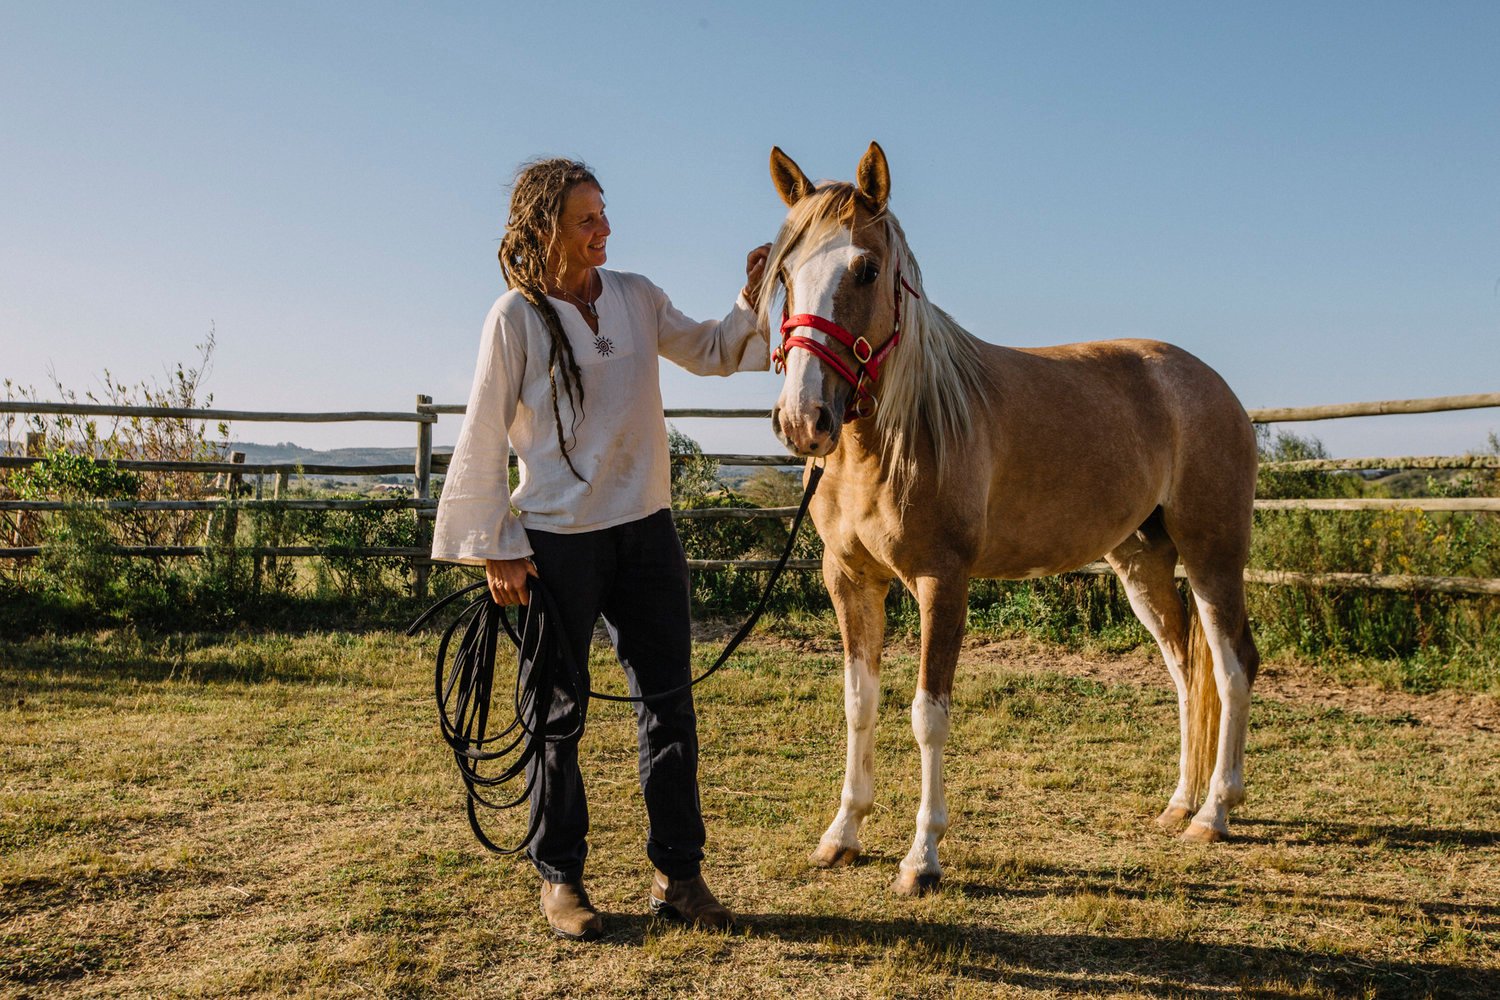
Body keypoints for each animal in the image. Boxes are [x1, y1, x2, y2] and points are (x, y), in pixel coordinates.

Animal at [756, 142, 1260, 899]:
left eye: (866, 269)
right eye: (785, 273)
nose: (802, 419)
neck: (900, 432)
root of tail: (1210, 386)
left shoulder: (943, 583)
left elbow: (927, 716)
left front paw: (921, 858)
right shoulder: (849, 581)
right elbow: (859, 704)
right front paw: (842, 835)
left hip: (1212, 557)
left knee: (1232, 670)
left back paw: (1215, 812)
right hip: (1143, 565)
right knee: (1185, 671)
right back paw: (1180, 804)